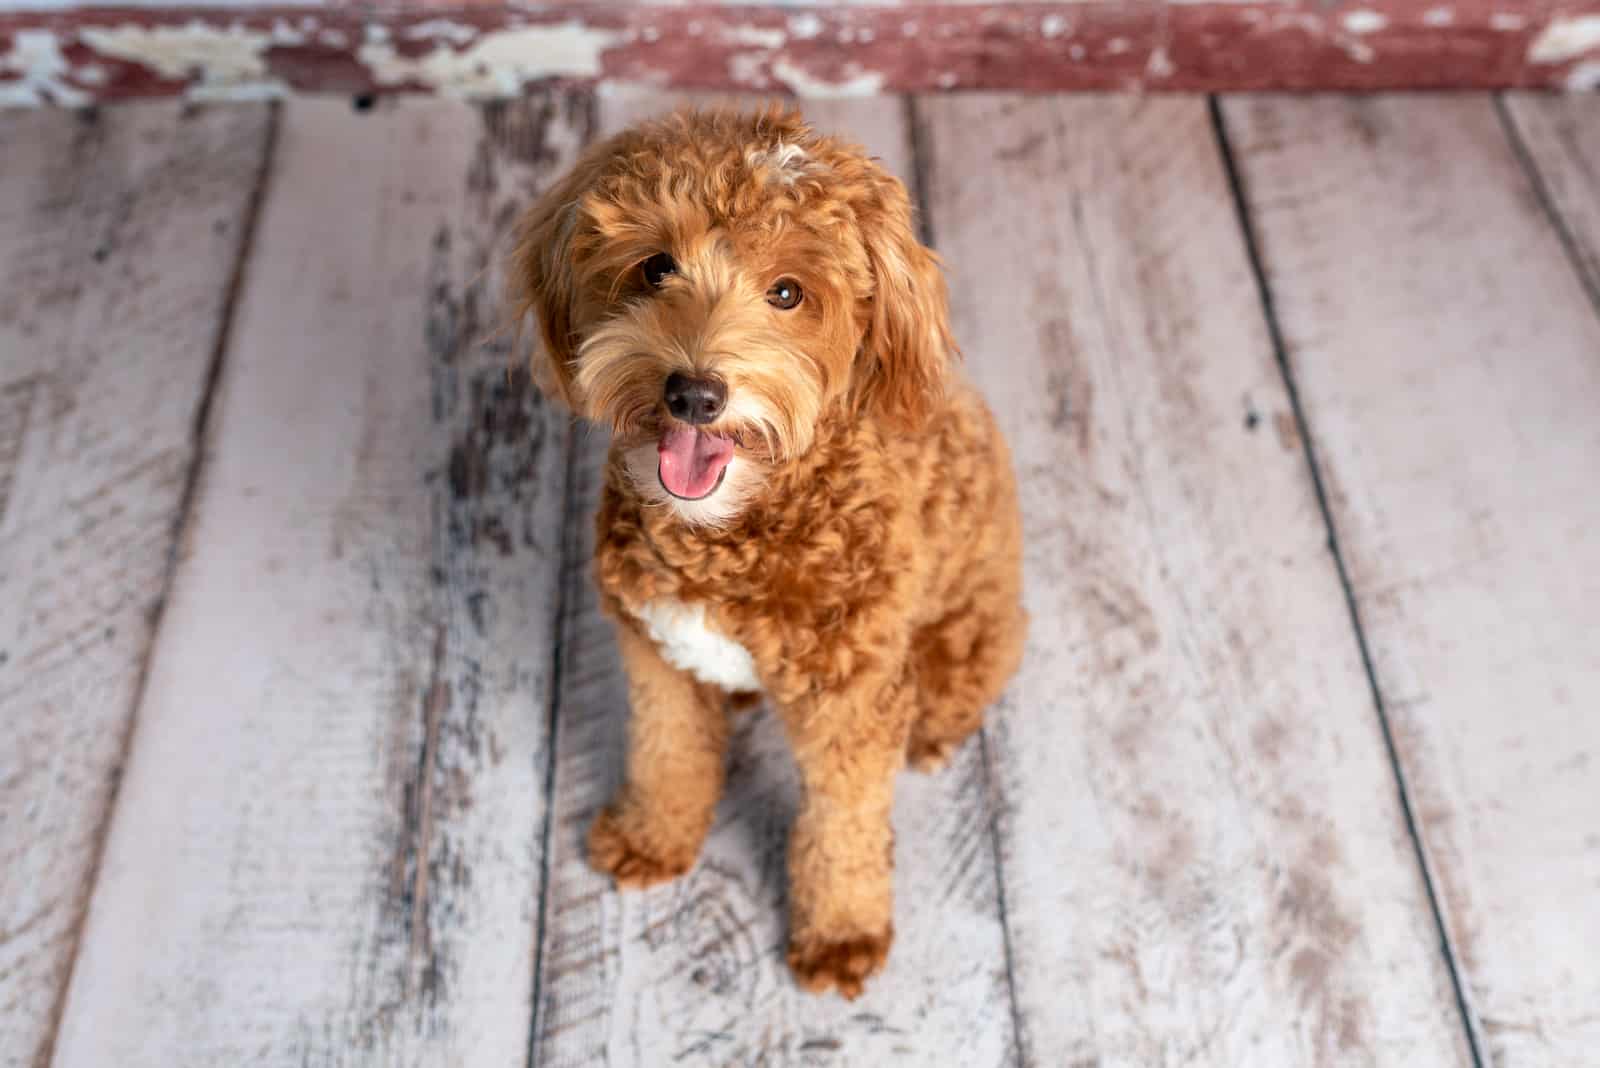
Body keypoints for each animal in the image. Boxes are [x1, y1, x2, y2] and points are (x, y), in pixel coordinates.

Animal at [518, 103, 1030, 997]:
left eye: (788, 293)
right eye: (656, 267)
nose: (694, 392)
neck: (735, 535)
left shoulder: (850, 704)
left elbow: (842, 826)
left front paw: (841, 933)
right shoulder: (656, 653)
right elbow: (666, 753)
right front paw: (652, 837)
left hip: (967, 631)